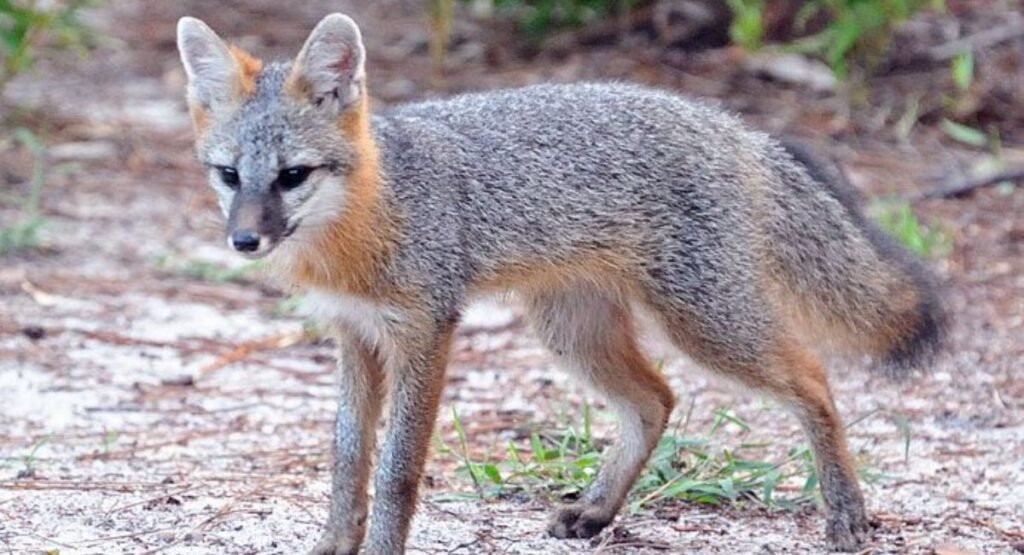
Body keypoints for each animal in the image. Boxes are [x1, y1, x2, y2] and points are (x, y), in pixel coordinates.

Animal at [176, 13, 947, 555]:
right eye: (229, 175)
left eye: (292, 176)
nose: (244, 241)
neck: (368, 215)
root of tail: (731, 127)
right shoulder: (355, 335)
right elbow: (345, 458)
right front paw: (336, 542)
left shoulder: (425, 331)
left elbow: (396, 468)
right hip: (573, 331)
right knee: (656, 400)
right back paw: (598, 509)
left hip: (706, 326)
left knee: (813, 379)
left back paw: (846, 511)